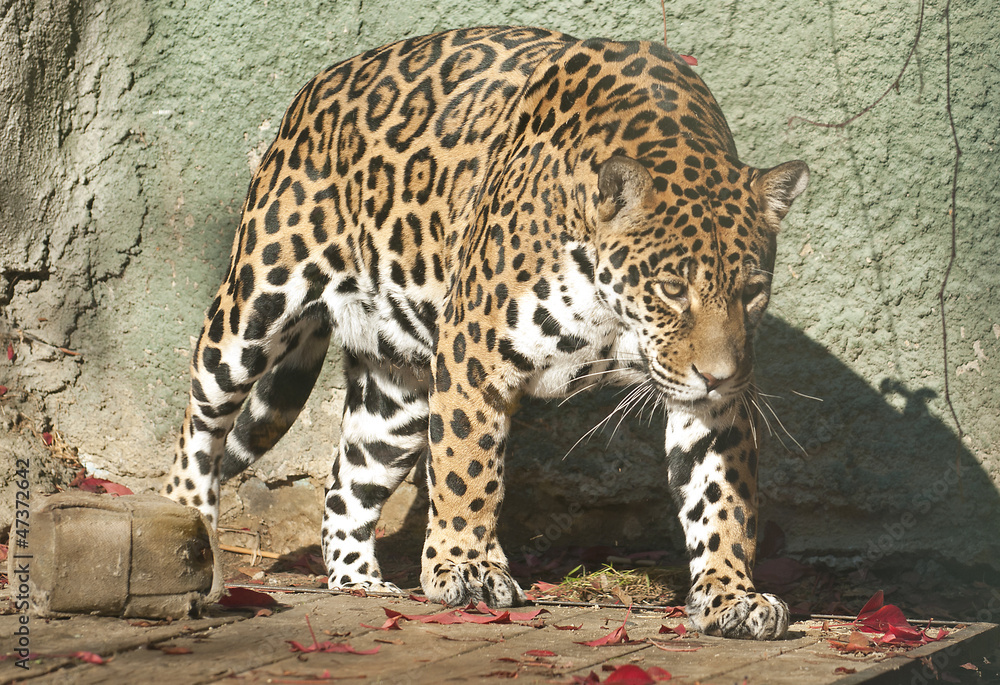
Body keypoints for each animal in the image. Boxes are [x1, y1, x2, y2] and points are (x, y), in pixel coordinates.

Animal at [162, 26, 809, 640]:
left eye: (751, 291)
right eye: (672, 288)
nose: (719, 376)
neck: (613, 313)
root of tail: (316, 89)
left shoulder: (709, 403)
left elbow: (720, 499)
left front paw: (732, 597)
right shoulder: (473, 358)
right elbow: (466, 470)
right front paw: (464, 568)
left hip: (397, 396)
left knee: (346, 483)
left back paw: (360, 583)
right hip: (251, 309)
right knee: (200, 429)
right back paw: (195, 539)